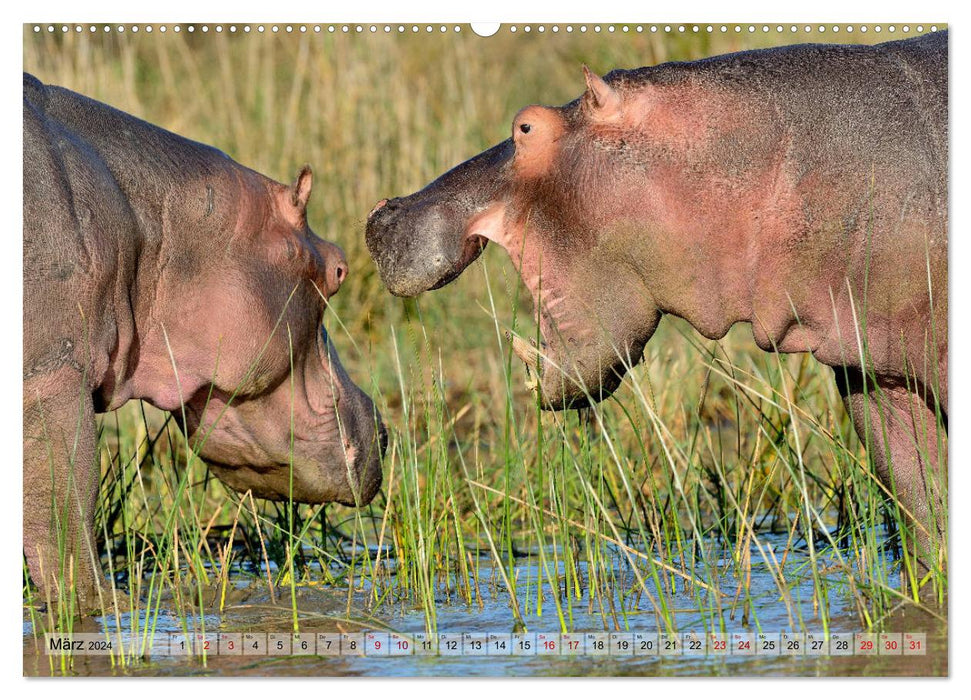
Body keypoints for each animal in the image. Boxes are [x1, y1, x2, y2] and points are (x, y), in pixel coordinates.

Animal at [23, 74, 388, 608]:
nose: (382, 430)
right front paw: (111, 610)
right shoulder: (48, 379)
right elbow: (65, 515)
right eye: (339, 269)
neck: (154, 226)